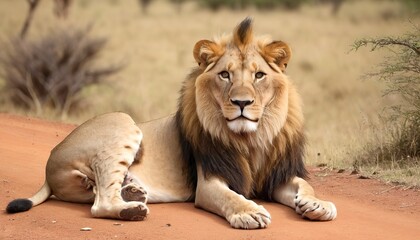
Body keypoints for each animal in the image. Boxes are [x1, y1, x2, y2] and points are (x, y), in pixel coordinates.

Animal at [6, 18, 336, 229]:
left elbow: (305, 184)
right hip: (123, 121)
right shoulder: (209, 181)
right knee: (101, 202)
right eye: (225, 75)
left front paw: (318, 205)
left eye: (259, 75)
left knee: (99, 190)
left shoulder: (277, 175)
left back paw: (134, 192)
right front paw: (249, 213)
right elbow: (230, 197)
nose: (242, 103)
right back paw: (133, 210)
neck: (250, 139)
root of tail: (51, 160)